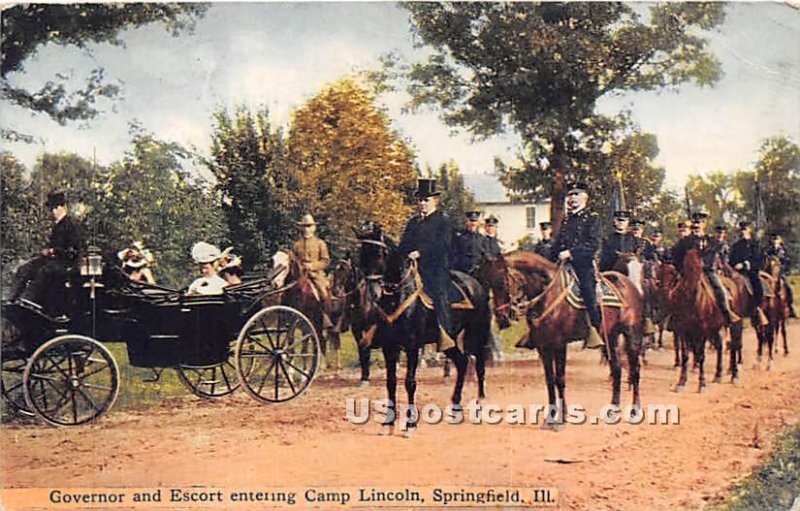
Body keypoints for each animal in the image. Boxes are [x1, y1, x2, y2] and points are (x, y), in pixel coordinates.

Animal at [358, 224, 494, 436]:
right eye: (360, 254)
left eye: (379, 253)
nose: (372, 293)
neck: (398, 295)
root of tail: (476, 283)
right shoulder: (390, 347)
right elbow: (391, 382)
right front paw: (387, 424)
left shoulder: (412, 345)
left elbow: (410, 383)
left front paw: (410, 425)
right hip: (449, 341)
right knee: (462, 362)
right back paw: (456, 408)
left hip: (477, 334)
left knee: (479, 364)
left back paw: (480, 402)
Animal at [476, 251, 644, 428]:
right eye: (489, 284)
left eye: (502, 283)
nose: (502, 318)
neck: (548, 295)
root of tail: (629, 284)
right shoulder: (543, 347)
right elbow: (550, 380)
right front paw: (550, 418)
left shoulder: (559, 344)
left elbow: (560, 379)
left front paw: (562, 419)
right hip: (610, 337)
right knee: (617, 369)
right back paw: (613, 410)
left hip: (632, 335)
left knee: (634, 370)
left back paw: (635, 411)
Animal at [660, 249, 748, 392]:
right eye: (659, 271)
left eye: (672, 272)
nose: (664, 292)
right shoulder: (683, 330)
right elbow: (685, 355)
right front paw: (681, 382)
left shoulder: (701, 331)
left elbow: (700, 355)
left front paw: (701, 383)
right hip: (714, 328)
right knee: (720, 345)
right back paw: (718, 374)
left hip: (735, 325)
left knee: (734, 345)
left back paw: (734, 375)